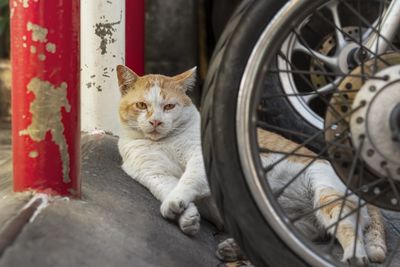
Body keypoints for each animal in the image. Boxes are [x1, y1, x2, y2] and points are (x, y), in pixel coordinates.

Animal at [117, 65, 386, 266]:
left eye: (169, 106)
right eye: (141, 105)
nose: (155, 122)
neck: (164, 142)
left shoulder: (199, 161)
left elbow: (187, 181)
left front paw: (179, 205)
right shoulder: (152, 174)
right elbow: (168, 190)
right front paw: (186, 218)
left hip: (327, 197)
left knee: (349, 230)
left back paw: (354, 256)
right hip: (294, 222)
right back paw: (232, 248)